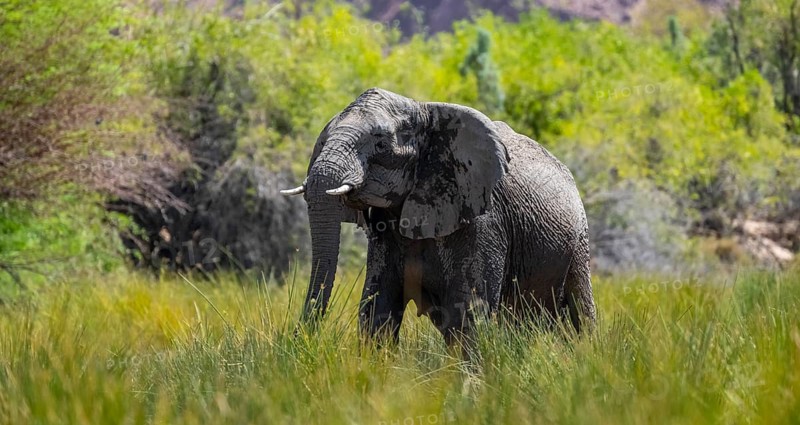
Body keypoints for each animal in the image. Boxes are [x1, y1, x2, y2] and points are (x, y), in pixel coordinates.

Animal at [282, 88, 596, 344]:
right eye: (323, 141)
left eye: (381, 145)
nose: (295, 339)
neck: (423, 111)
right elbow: (377, 309)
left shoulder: (483, 221)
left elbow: (468, 313)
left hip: (579, 240)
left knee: (580, 309)